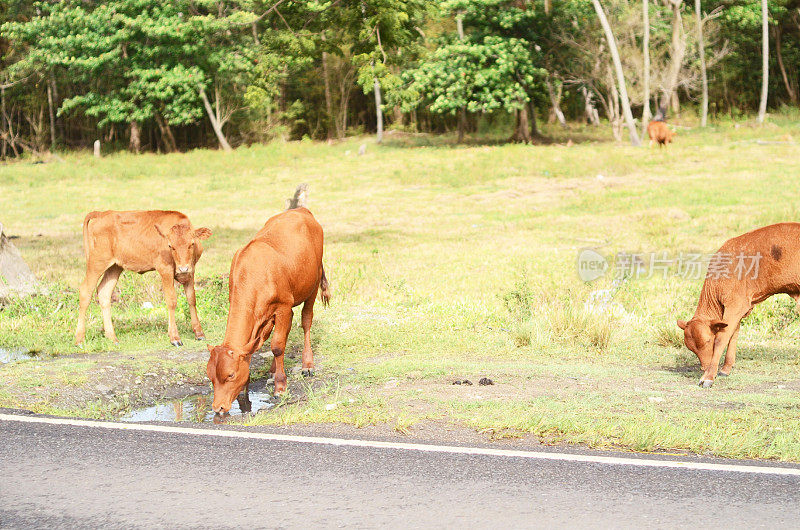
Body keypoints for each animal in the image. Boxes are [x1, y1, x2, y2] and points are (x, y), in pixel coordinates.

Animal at [74, 210, 211, 346]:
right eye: (170, 246)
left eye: (191, 244)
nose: (183, 268)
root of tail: (103, 213)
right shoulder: (165, 270)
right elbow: (171, 301)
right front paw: (175, 337)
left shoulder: (191, 271)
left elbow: (192, 299)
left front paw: (199, 333)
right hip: (97, 263)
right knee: (85, 291)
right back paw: (80, 339)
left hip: (114, 267)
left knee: (104, 292)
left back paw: (112, 338)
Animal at [209, 206, 332, 412]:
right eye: (210, 377)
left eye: (231, 375)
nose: (218, 408)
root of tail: (301, 209)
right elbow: (256, 346)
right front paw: (246, 387)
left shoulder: (283, 307)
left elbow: (277, 346)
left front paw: (280, 387)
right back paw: (274, 369)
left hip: (312, 285)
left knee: (306, 321)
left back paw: (307, 364)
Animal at [680, 221, 800, 386]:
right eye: (691, 348)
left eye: (708, 341)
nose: (704, 367)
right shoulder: (738, 310)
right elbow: (733, 335)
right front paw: (725, 369)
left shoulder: (735, 306)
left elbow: (722, 339)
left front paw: (708, 377)